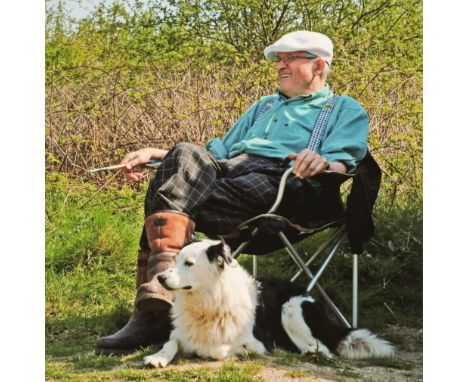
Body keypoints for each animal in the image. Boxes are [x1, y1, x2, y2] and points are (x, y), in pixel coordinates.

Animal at [144, 239, 394, 368]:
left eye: (188, 263)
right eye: (175, 260)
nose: (160, 278)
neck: (209, 301)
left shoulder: (257, 343)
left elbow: (217, 349)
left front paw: (206, 351)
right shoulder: (180, 332)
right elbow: (170, 343)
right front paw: (157, 357)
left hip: (291, 308)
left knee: (322, 347)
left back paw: (310, 352)